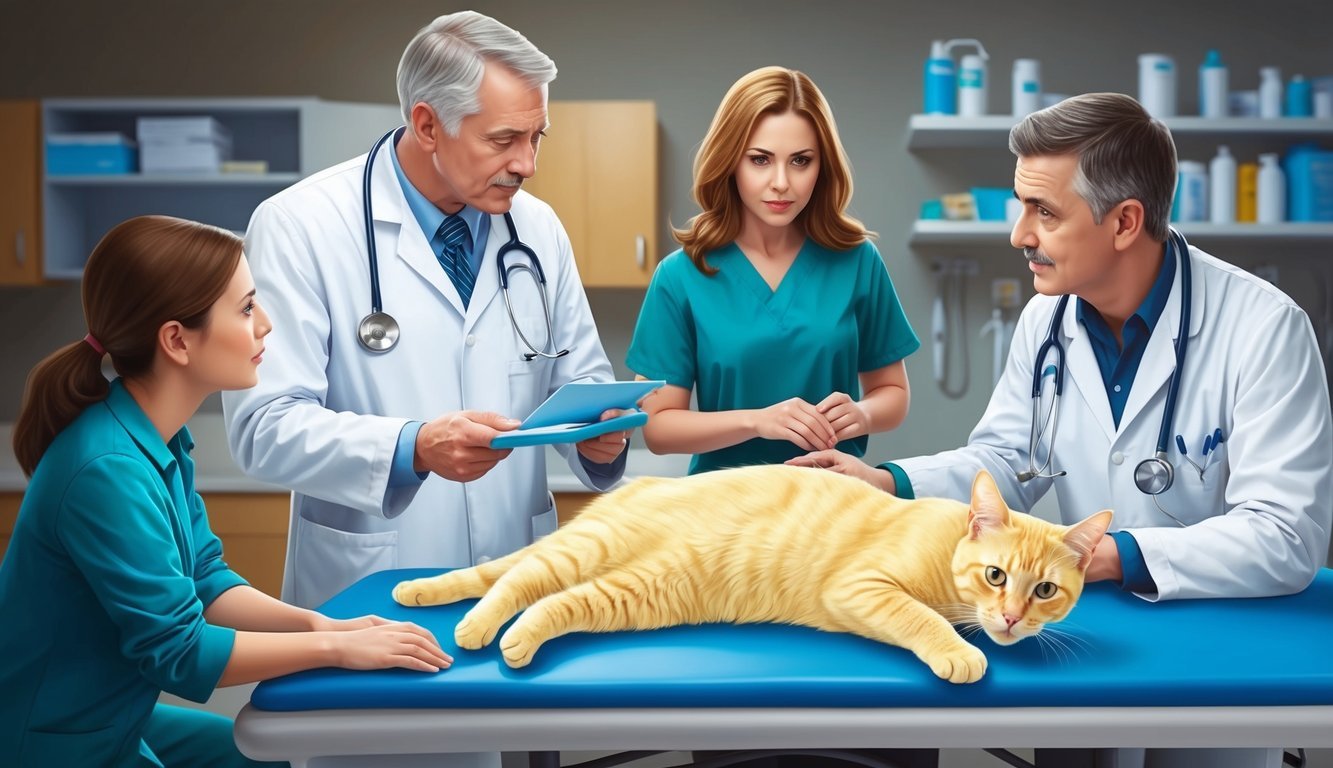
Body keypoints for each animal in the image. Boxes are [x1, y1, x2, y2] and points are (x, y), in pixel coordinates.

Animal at [389, 461, 1109, 682]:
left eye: (1045, 591)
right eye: (996, 577)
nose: (1011, 619)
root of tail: (637, 484)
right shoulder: (863, 587)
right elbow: (922, 618)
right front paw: (959, 649)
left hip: (637, 591)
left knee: (544, 597)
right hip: (589, 549)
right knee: (514, 580)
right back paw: (475, 629)